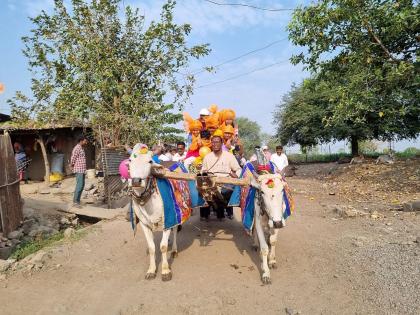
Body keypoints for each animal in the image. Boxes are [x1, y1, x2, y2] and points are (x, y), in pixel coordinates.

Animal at [130, 150, 179, 282]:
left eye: (150, 161)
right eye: (130, 161)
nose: (136, 181)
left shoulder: (168, 220)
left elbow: (163, 247)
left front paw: (166, 271)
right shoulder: (144, 223)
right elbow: (152, 247)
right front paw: (151, 270)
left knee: (175, 230)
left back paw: (174, 249)